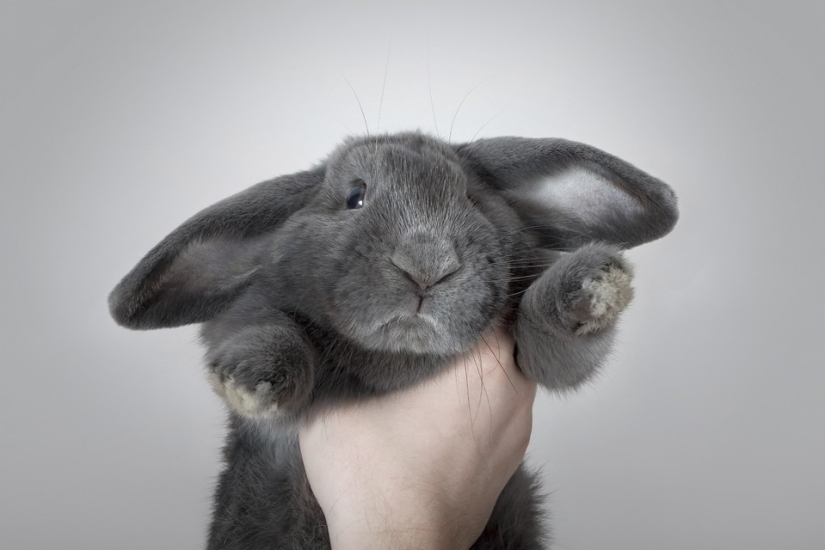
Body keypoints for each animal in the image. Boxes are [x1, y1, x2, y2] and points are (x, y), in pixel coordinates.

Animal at [109, 132, 678, 549]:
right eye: (354, 197)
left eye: (472, 198)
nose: (427, 265)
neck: (399, 360)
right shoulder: (246, 324)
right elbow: (269, 332)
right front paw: (251, 378)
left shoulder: (537, 357)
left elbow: (554, 341)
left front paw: (592, 285)